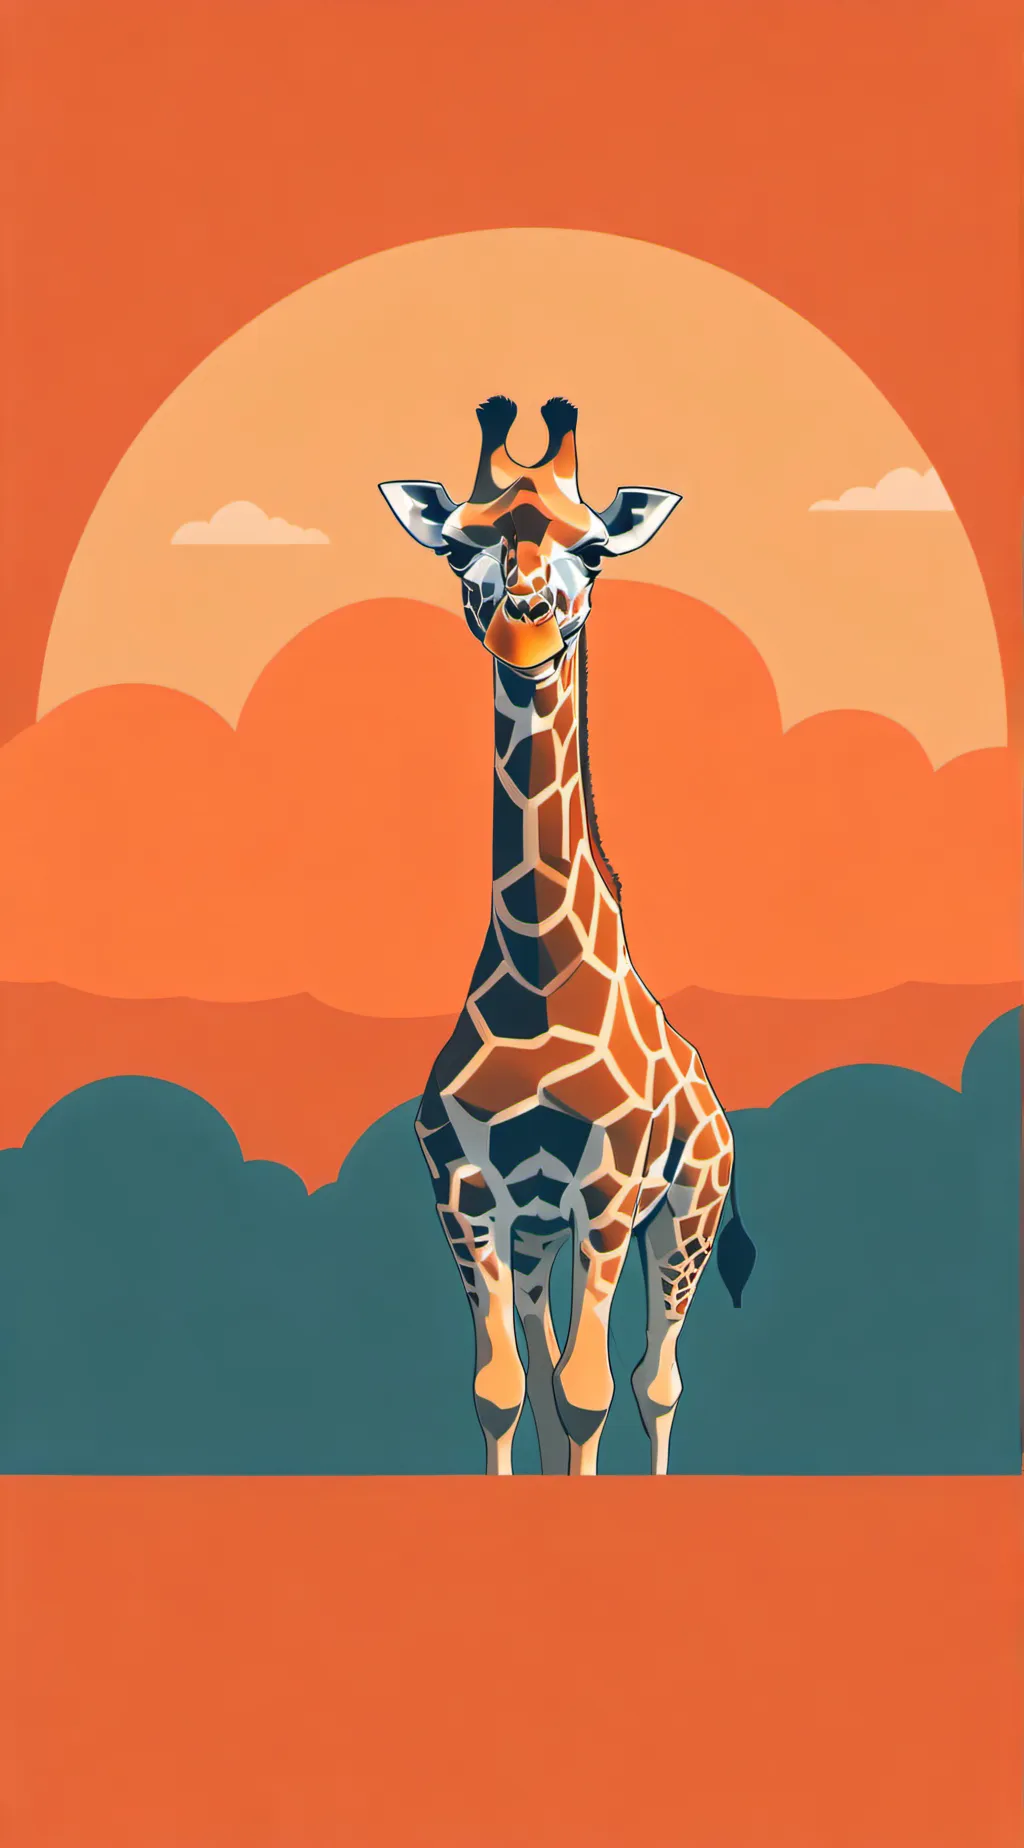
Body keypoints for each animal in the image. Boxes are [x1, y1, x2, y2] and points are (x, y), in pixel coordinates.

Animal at [380, 396, 734, 1476]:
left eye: (595, 549)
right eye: (460, 545)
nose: (523, 622)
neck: (539, 977)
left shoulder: (609, 1187)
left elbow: (589, 1396)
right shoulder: (468, 1194)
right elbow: (505, 1393)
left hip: (689, 1210)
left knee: (656, 1380)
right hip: (540, 1238)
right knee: (547, 1380)